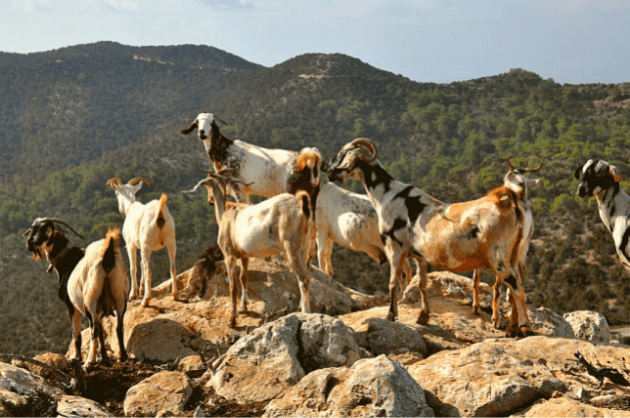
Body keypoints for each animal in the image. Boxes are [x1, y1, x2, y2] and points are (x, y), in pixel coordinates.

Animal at [23, 219, 128, 370]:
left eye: (45, 229)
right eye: (32, 228)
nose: (30, 244)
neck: (64, 260)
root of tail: (107, 257)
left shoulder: (70, 304)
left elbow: (77, 335)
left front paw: (78, 358)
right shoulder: (99, 308)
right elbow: (102, 331)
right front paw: (103, 358)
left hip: (90, 298)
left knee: (94, 328)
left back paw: (89, 362)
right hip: (119, 294)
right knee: (118, 326)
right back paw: (122, 356)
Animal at [106, 176, 179, 306]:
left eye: (116, 193)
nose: (120, 208)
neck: (131, 206)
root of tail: (160, 212)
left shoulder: (131, 245)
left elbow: (133, 267)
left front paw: (132, 294)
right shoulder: (143, 246)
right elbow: (142, 264)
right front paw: (141, 289)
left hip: (146, 244)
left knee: (149, 270)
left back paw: (146, 300)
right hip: (170, 242)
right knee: (172, 267)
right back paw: (175, 295)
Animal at [180, 112, 324, 205]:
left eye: (212, 122)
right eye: (197, 123)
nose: (202, 133)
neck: (225, 150)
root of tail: (311, 157)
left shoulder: (238, 188)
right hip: (314, 195)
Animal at [186, 169, 316, 326]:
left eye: (207, 186)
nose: (210, 201)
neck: (225, 212)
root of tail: (301, 205)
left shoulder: (229, 255)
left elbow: (233, 285)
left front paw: (232, 319)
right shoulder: (245, 255)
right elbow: (244, 278)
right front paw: (243, 307)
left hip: (291, 247)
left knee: (303, 279)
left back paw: (306, 312)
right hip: (304, 245)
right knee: (307, 276)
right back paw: (300, 308)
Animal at [328, 139, 540, 338]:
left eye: (347, 158)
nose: (329, 173)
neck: (388, 196)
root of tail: (511, 201)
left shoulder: (394, 247)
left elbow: (393, 282)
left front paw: (390, 315)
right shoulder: (420, 255)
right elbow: (422, 284)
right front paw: (423, 317)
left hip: (499, 257)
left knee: (517, 288)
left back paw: (524, 328)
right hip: (518, 255)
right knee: (515, 288)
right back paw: (511, 328)